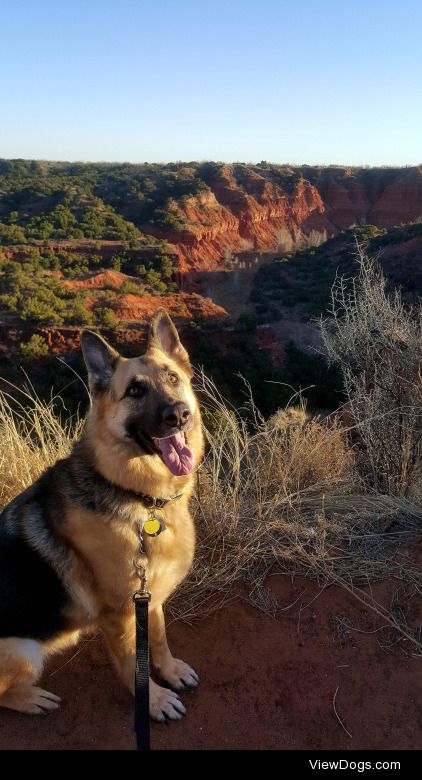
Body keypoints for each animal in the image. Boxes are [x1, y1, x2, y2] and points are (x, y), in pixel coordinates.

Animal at [0, 308, 204, 724]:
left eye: (172, 378)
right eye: (135, 391)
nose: (179, 415)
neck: (142, 500)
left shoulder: (149, 598)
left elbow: (159, 639)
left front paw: (171, 671)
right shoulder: (120, 612)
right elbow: (130, 663)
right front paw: (154, 701)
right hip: (22, 651)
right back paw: (32, 698)